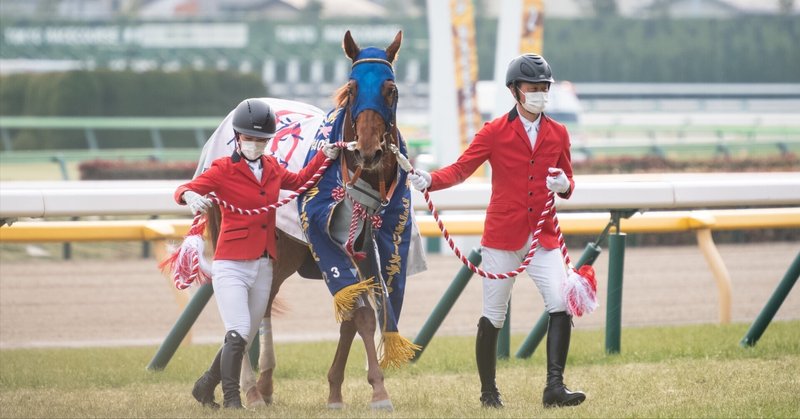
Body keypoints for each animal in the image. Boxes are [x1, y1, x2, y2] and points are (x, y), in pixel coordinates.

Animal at [195, 31, 428, 412]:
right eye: (352, 88)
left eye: (390, 89)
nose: (368, 150)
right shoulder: (326, 236)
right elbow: (361, 314)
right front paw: (378, 391)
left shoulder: (377, 244)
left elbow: (354, 312)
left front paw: (336, 390)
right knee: (244, 304)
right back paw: (250, 390)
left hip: (284, 251)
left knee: (263, 302)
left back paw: (256, 385)